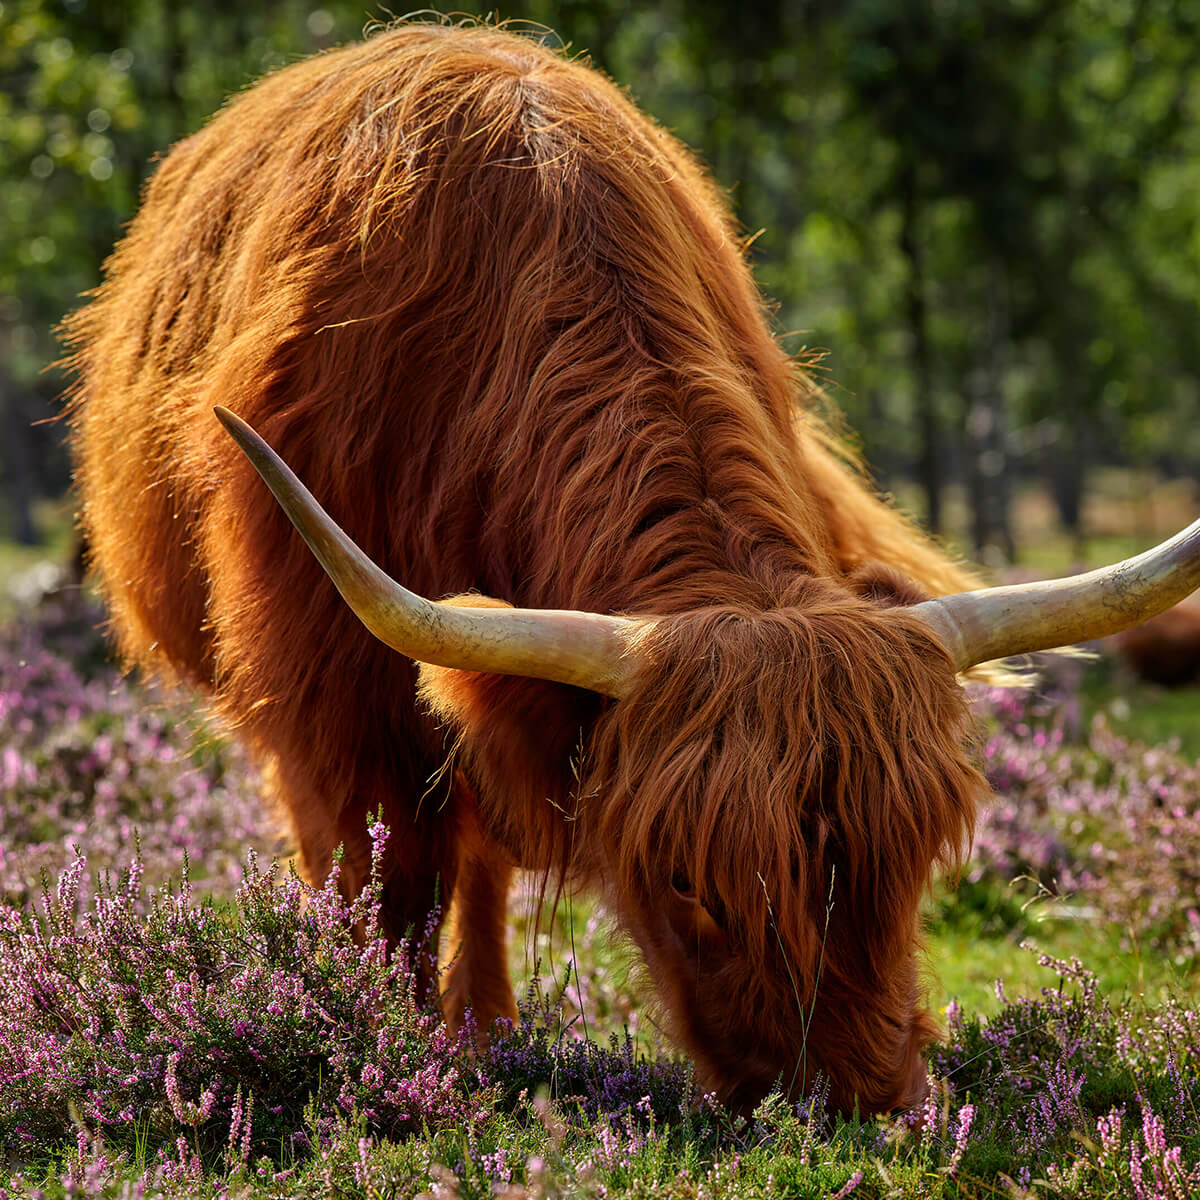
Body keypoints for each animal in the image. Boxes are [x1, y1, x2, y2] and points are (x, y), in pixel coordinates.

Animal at [68, 21, 1200, 1113]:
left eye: (914, 857)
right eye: (689, 883)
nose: (852, 1097)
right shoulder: (333, 704)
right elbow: (382, 891)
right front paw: (375, 1049)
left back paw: (486, 1029)